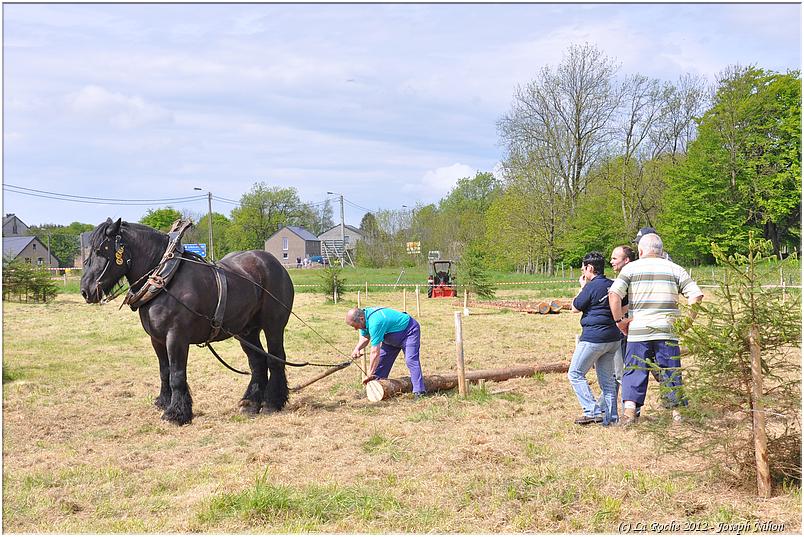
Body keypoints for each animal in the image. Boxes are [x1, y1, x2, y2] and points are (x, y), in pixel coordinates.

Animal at [79, 217, 296, 422]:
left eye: (100, 250)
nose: (85, 290)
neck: (165, 279)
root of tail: (275, 263)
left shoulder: (176, 337)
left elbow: (176, 374)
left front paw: (176, 413)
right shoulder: (157, 340)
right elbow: (164, 371)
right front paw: (164, 402)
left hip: (273, 325)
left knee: (276, 358)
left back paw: (272, 403)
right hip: (246, 331)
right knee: (257, 362)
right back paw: (251, 404)